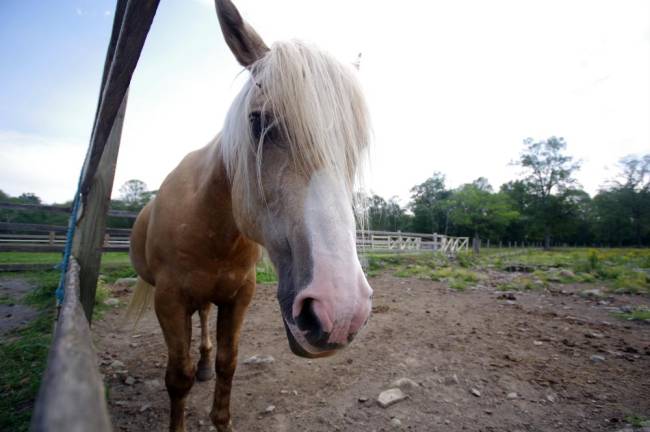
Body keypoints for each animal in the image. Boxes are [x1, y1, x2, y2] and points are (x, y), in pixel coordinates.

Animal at [125, 1, 370, 430]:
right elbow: (177, 377)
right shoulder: (169, 300)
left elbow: (229, 363)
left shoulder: (239, 296)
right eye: (258, 122)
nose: (340, 314)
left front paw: (221, 412)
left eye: (354, 144)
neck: (211, 226)